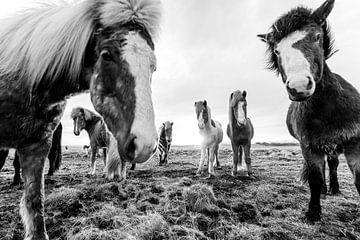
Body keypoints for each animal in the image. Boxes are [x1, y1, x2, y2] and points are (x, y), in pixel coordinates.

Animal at [258, 0, 360, 221]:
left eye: (317, 36)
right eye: (277, 51)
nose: (299, 87)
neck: (328, 110)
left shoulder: (355, 143)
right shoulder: (309, 146)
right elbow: (314, 178)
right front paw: (313, 212)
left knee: (332, 165)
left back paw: (334, 189)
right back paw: (324, 190)